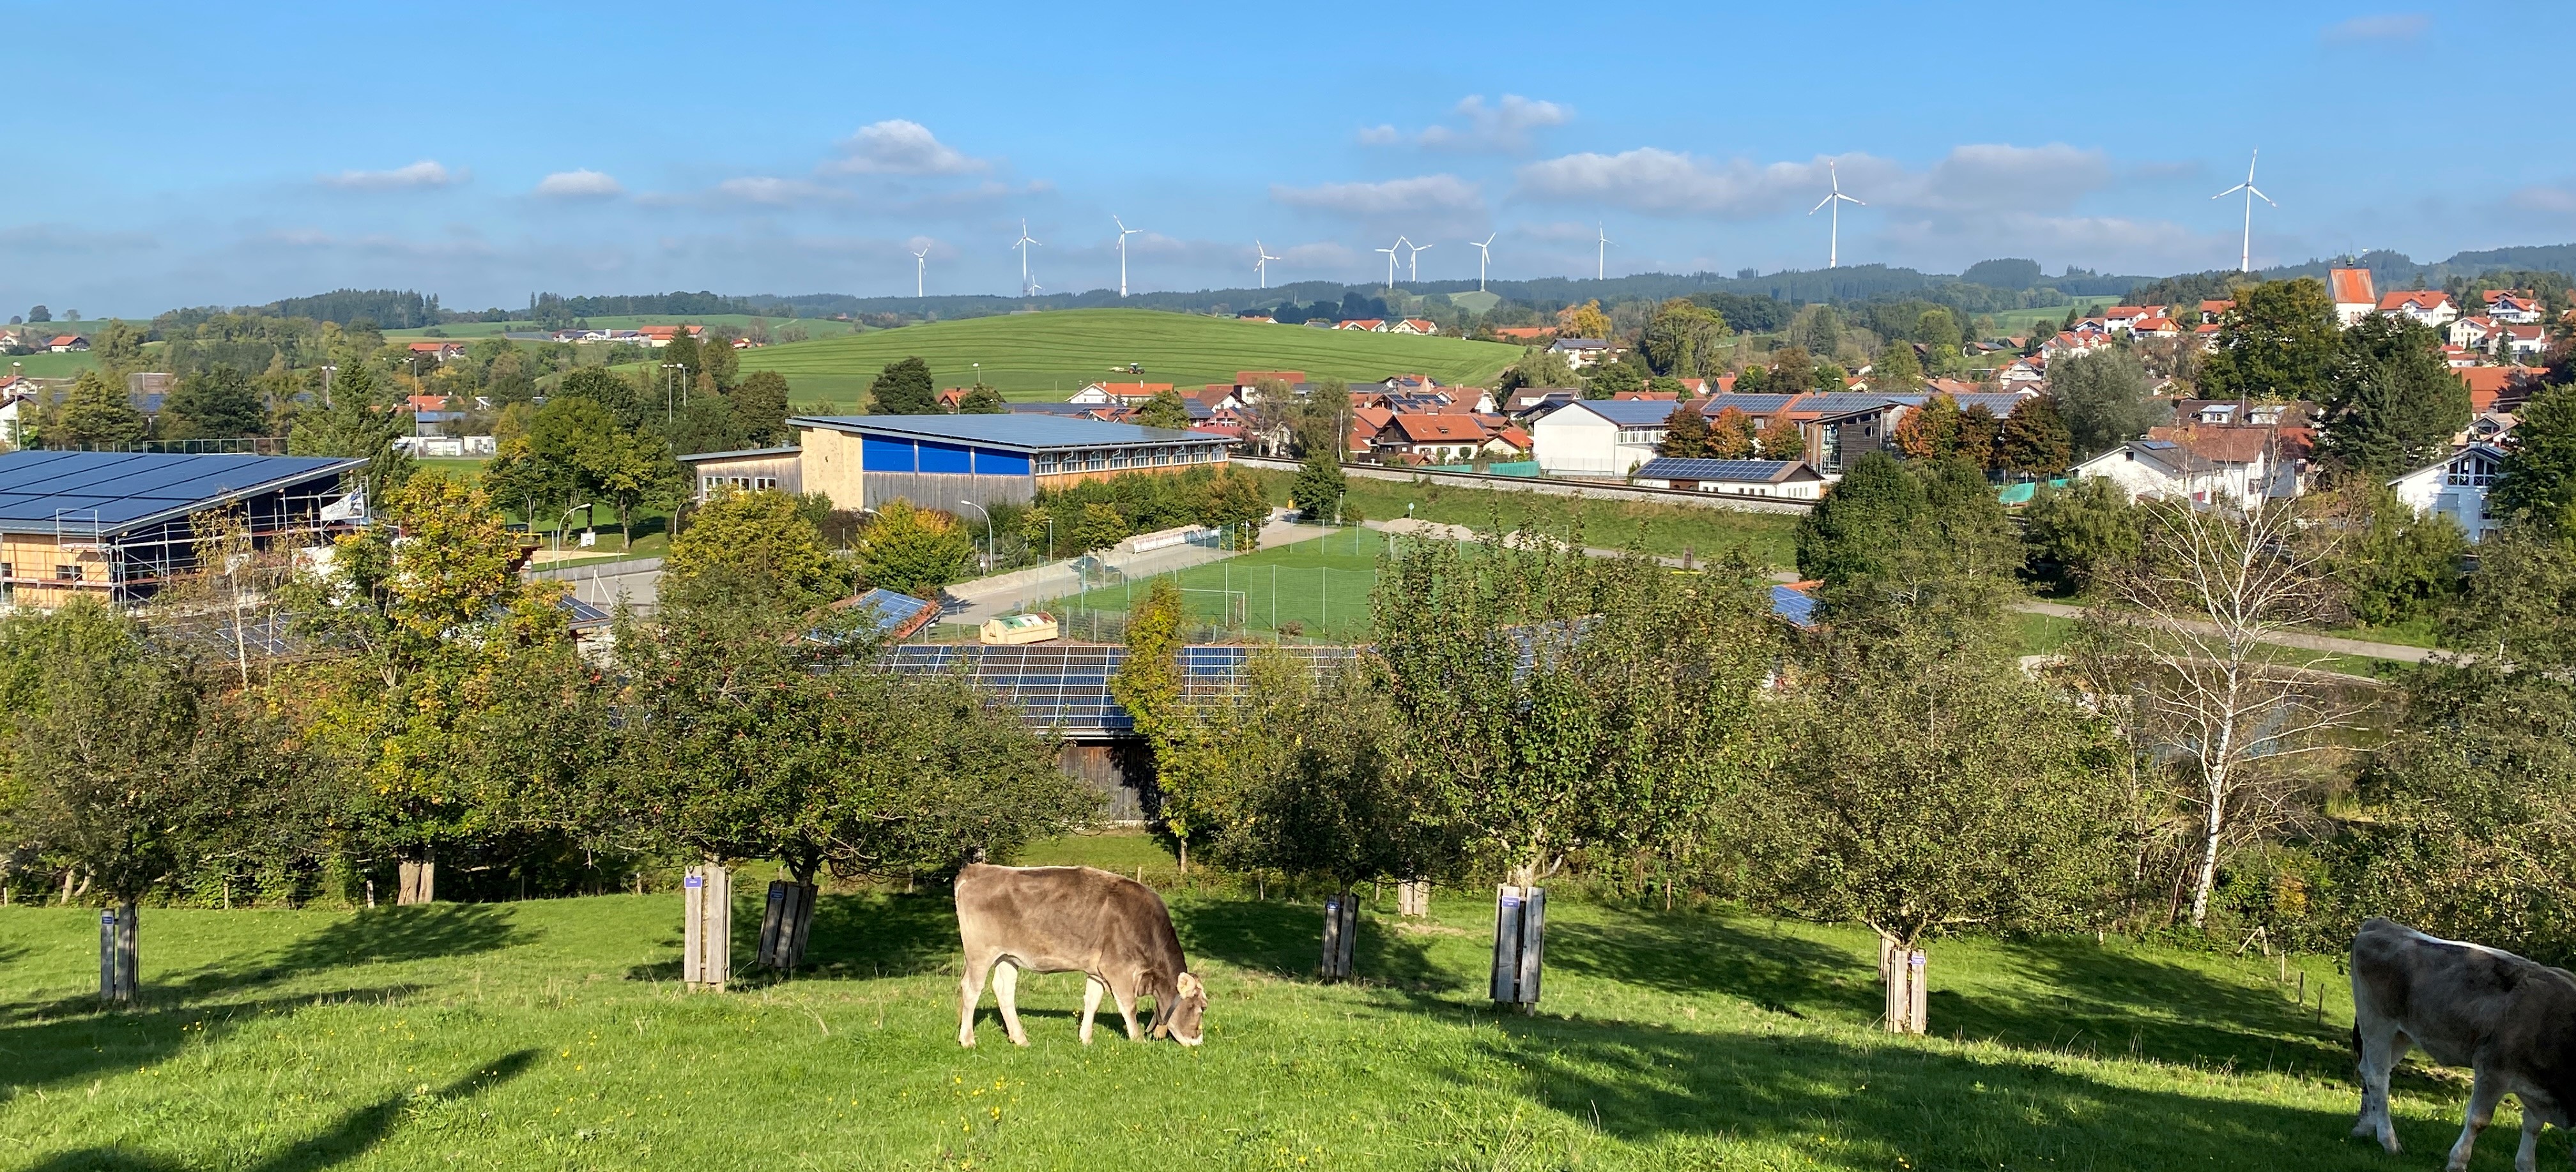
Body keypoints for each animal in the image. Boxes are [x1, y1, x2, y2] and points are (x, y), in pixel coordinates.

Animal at [958, 865, 1205, 1051]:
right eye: (1201, 1007)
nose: (1198, 1041)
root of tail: (979, 869)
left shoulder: (1097, 970)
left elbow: (1092, 1001)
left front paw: (1086, 1038)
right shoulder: (1118, 968)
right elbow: (1129, 1006)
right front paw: (1138, 1040)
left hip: (1007, 956)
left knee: (1004, 991)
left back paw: (1020, 1039)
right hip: (980, 954)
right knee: (971, 989)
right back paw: (968, 1040)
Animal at [2359, 922, 2576, 1169]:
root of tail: (2380, 923)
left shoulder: (2538, 1089)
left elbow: (2533, 1128)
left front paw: (2526, 1166)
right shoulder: (2494, 1069)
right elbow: (2478, 1121)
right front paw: (2457, 1162)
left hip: (2402, 1034)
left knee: (2369, 1071)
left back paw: (2366, 1127)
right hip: (2378, 1024)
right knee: (2377, 1078)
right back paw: (2390, 1142)